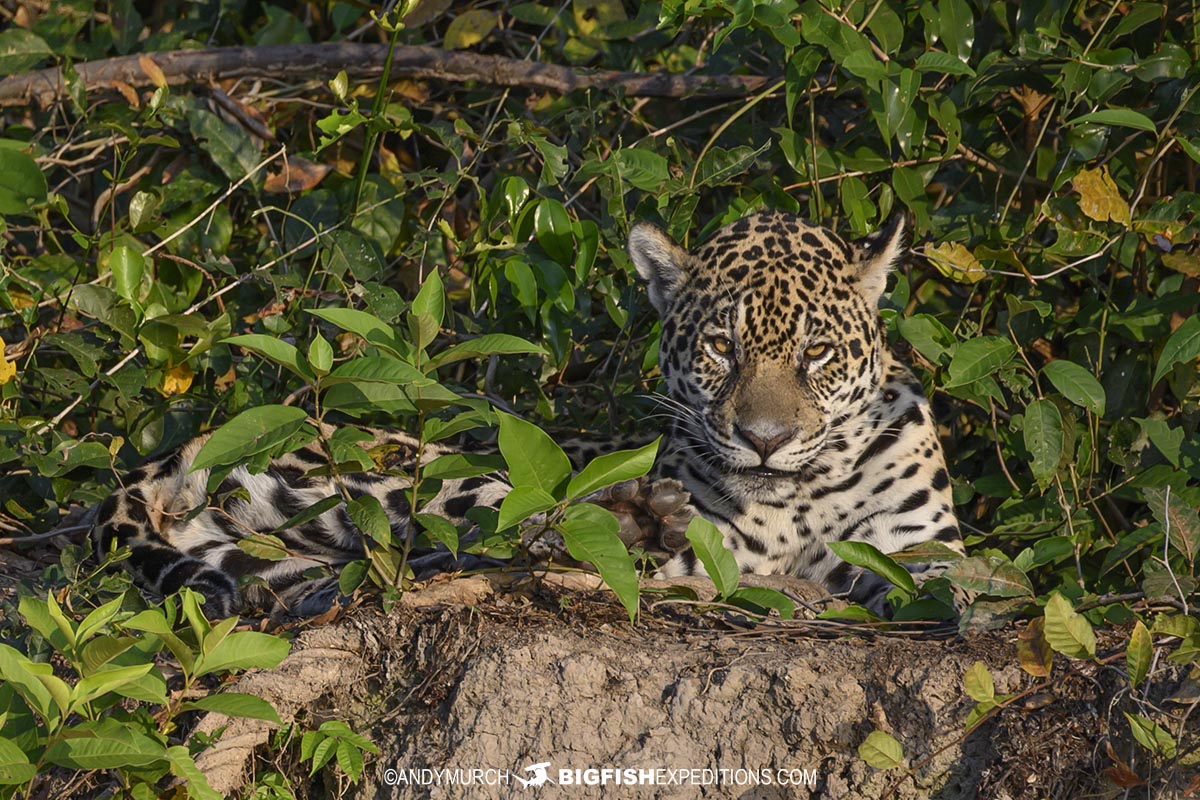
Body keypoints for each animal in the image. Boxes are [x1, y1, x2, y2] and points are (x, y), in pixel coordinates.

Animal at [91, 209, 962, 618]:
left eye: (817, 352)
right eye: (721, 346)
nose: (765, 440)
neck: (800, 501)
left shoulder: (917, 545)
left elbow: (944, 585)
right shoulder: (717, 553)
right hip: (433, 470)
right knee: (510, 533)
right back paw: (634, 514)